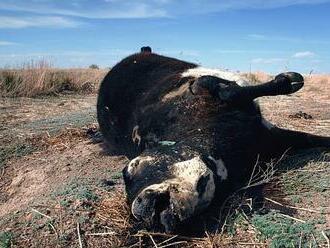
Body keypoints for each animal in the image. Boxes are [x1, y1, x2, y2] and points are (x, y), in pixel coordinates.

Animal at [96, 48, 330, 232]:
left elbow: (226, 89)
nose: (144, 211)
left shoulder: (202, 88)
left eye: (131, 168)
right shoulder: (270, 140)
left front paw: (290, 79)